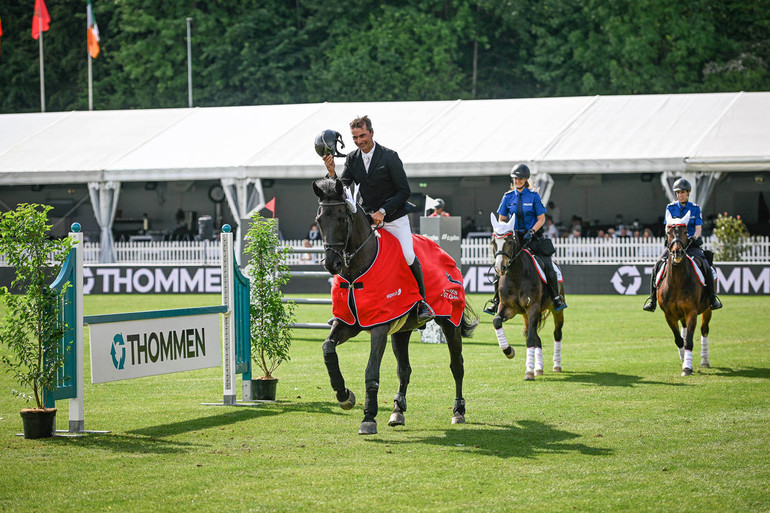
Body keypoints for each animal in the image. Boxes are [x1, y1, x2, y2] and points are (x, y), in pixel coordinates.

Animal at [310, 176, 476, 432]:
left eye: (341, 218)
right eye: (319, 220)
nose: (331, 264)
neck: (355, 271)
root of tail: (443, 252)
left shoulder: (379, 325)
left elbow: (371, 369)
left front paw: (368, 417)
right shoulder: (348, 323)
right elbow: (328, 348)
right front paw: (344, 395)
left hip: (450, 322)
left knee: (456, 365)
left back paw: (458, 411)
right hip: (402, 329)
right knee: (404, 370)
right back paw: (397, 411)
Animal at [486, 213, 564, 380]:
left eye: (510, 241)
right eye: (493, 242)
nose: (500, 268)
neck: (516, 275)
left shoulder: (533, 307)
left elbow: (529, 339)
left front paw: (528, 371)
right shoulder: (507, 308)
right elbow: (497, 322)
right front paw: (509, 351)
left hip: (556, 310)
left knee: (556, 333)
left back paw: (556, 365)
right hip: (525, 315)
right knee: (536, 336)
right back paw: (539, 368)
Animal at [656, 210, 712, 374]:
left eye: (686, 232)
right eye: (668, 232)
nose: (678, 252)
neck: (677, 282)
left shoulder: (692, 312)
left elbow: (689, 341)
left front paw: (687, 367)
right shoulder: (668, 315)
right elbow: (679, 339)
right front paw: (683, 359)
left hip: (707, 309)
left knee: (704, 330)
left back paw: (704, 360)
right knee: (685, 329)